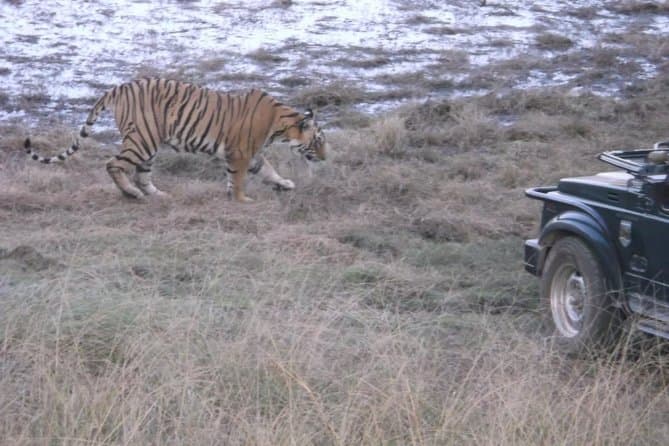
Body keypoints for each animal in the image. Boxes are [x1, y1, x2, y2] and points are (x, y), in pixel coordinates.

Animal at [24, 78, 327, 202]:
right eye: (318, 140)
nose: (326, 159)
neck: (280, 125)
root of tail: (119, 87)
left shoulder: (250, 155)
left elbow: (268, 170)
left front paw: (285, 184)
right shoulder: (240, 152)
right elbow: (241, 179)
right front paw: (242, 199)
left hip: (148, 144)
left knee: (142, 174)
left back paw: (158, 194)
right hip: (142, 140)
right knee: (113, 164)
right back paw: (131, 193)